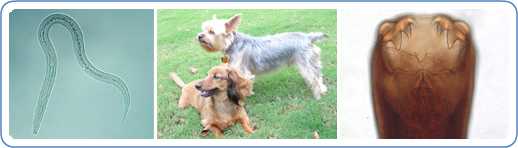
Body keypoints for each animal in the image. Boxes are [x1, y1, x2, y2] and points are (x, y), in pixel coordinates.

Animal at [197, 14, 328, 99]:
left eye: (211, 32)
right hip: (312, 61)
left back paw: (318, 94)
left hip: (305, 62)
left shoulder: (243, 72)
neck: (233, 43)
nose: (199, 36)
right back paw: (322, 89)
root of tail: (308, 37)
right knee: (318, 74)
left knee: (314, 77)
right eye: (203, 29)